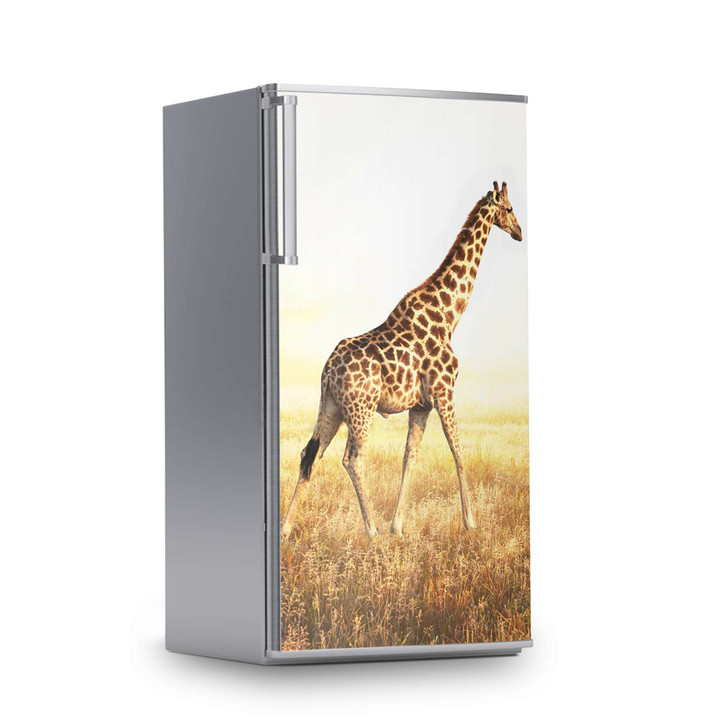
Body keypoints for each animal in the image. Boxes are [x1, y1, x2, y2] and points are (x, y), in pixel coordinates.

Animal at [281, 181, 523, 538]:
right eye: (509, 208)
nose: (519, 232)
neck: (449, 314)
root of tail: (326, 371)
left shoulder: (421, 405)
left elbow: (410, 456)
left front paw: (398, 525)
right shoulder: (444, 392)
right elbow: (458, 451)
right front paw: (470, 522)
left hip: (332, 408)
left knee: (310, 453)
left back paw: (285, 527)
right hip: (360, 409)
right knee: (352, 458)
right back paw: (371, 530)